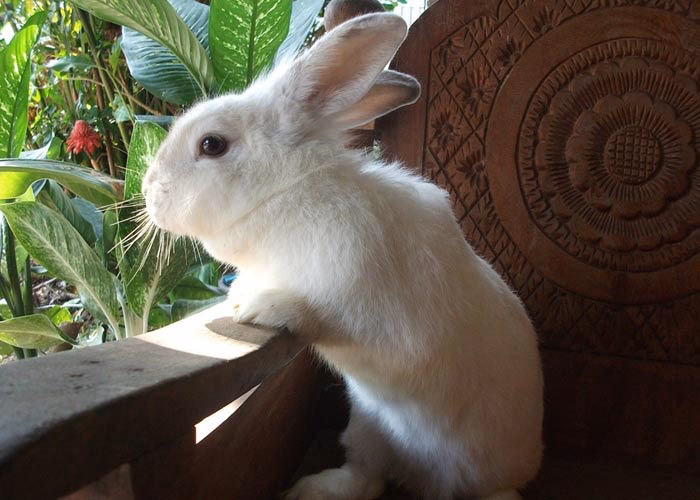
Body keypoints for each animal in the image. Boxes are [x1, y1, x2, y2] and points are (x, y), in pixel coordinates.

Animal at [142, 12, 543, 500]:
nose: (147, 190)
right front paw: (239, 298)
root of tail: (423, 479)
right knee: (366, 478)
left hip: (483, 470)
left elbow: (322, 317)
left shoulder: (370, 313)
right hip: (366, 428)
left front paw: (260, 307)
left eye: (211, 145)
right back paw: (311, 489)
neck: (289, 193)